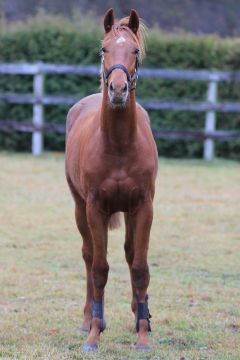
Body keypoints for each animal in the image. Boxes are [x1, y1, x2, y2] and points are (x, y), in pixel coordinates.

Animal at [65, 7, 158, 352]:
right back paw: (89, 318)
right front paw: (94, 334)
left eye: (135, 51)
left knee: (131, 254)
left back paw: (137, 316)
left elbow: (140, 267)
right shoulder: (95, 208)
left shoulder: (143, 207)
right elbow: (100, 268)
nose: (117, 90)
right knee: (89, 255)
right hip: (80, 208)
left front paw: (143, 334)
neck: (118, 144)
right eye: (104, 49)